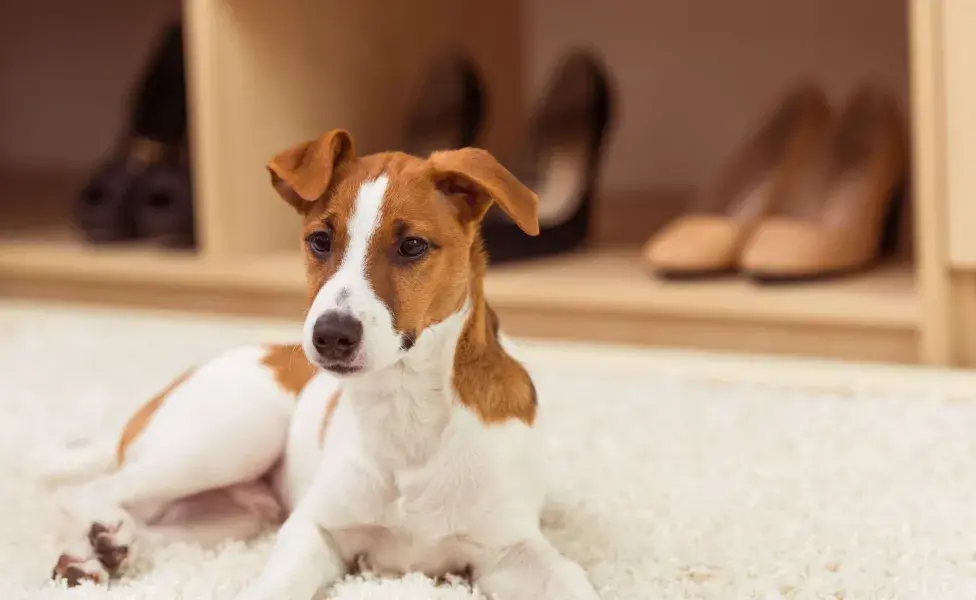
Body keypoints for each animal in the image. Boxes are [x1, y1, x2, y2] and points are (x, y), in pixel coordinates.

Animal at [45, 131, 604, 600]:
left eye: (412, 246)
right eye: (319, 241)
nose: (330, 335)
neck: (406, 407)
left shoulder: (513, 551)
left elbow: (572, 583)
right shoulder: (315, 528)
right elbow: (277, 585)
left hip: (234, 513)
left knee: (158, 527)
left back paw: (103, 550)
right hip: (228, 438)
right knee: (93, 490)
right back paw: (95, 543)